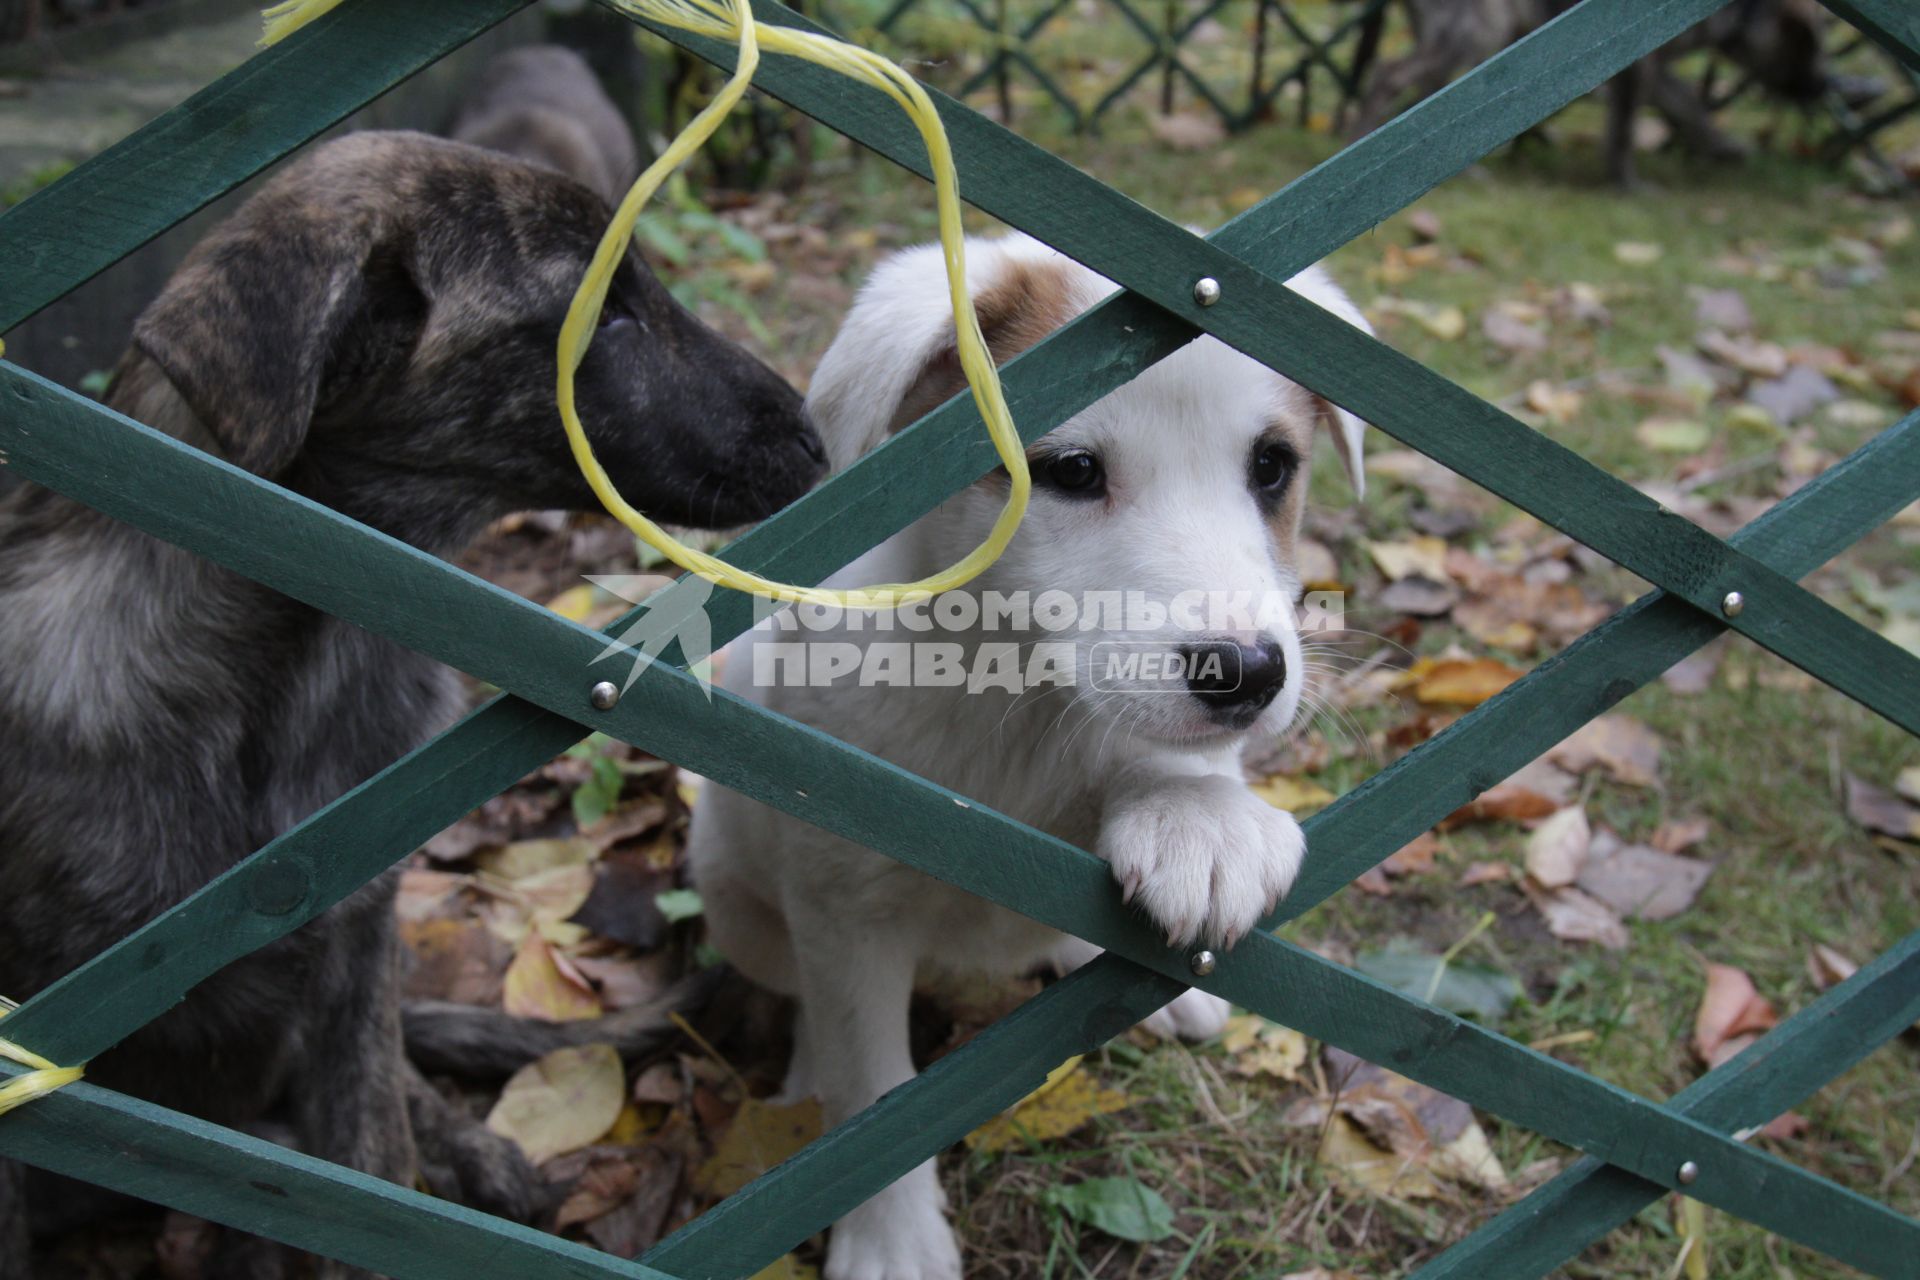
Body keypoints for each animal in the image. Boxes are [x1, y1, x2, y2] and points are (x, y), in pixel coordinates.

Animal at [683, 233, 1374, 1280]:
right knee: (806, 1006)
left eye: (1273, 466)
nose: (1250, 675)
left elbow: (1168, 755)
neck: (1011, 694)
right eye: (1074, 470)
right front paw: (889, 1237)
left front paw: (1198, 817)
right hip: (737, 897)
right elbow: (870, 1085)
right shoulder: (847, 911)